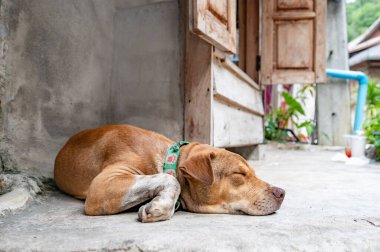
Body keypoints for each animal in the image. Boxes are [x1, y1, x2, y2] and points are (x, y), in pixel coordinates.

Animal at [54, 124, 284, 222]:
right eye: (239, 174)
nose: (282, 192)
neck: (170, 158)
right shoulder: (103, 185)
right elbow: (172, 181)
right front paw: (160, 206)